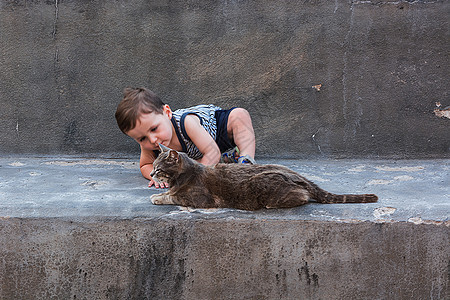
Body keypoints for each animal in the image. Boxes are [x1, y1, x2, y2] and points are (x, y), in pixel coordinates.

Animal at [150, 144, 376, 210]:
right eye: (152, 166)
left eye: (158, 169)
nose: (151, 174)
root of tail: (300, 176)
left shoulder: (200, 200)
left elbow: (174, 197)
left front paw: (157, 197)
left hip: (262, 184)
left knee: (302, 196)